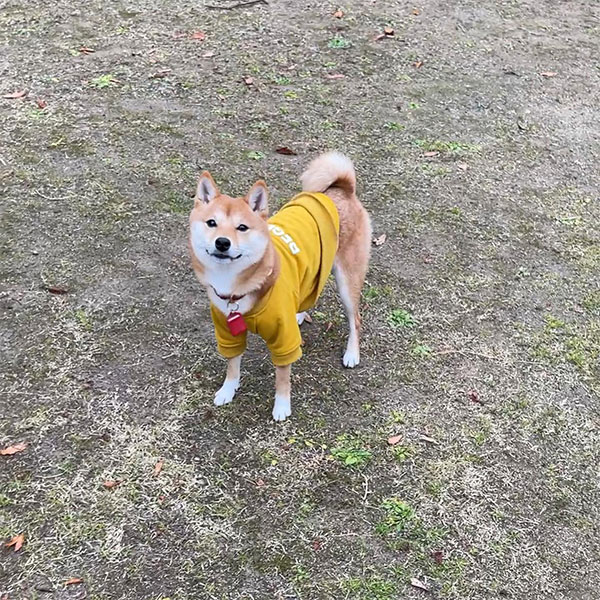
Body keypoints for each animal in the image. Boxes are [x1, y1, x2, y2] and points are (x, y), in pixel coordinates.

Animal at [190, 151, 372, 422]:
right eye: (211, 223)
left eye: (242, 227)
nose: (222, 242)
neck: (236, 286)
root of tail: (343, 188)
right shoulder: (226, 331)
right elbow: (232, 363)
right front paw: (228, 389)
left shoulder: (284, 339)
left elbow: (282, 376)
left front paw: (282, 406)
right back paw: (300, 314)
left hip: (347, 281)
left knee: (355, 319)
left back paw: (352, 353)